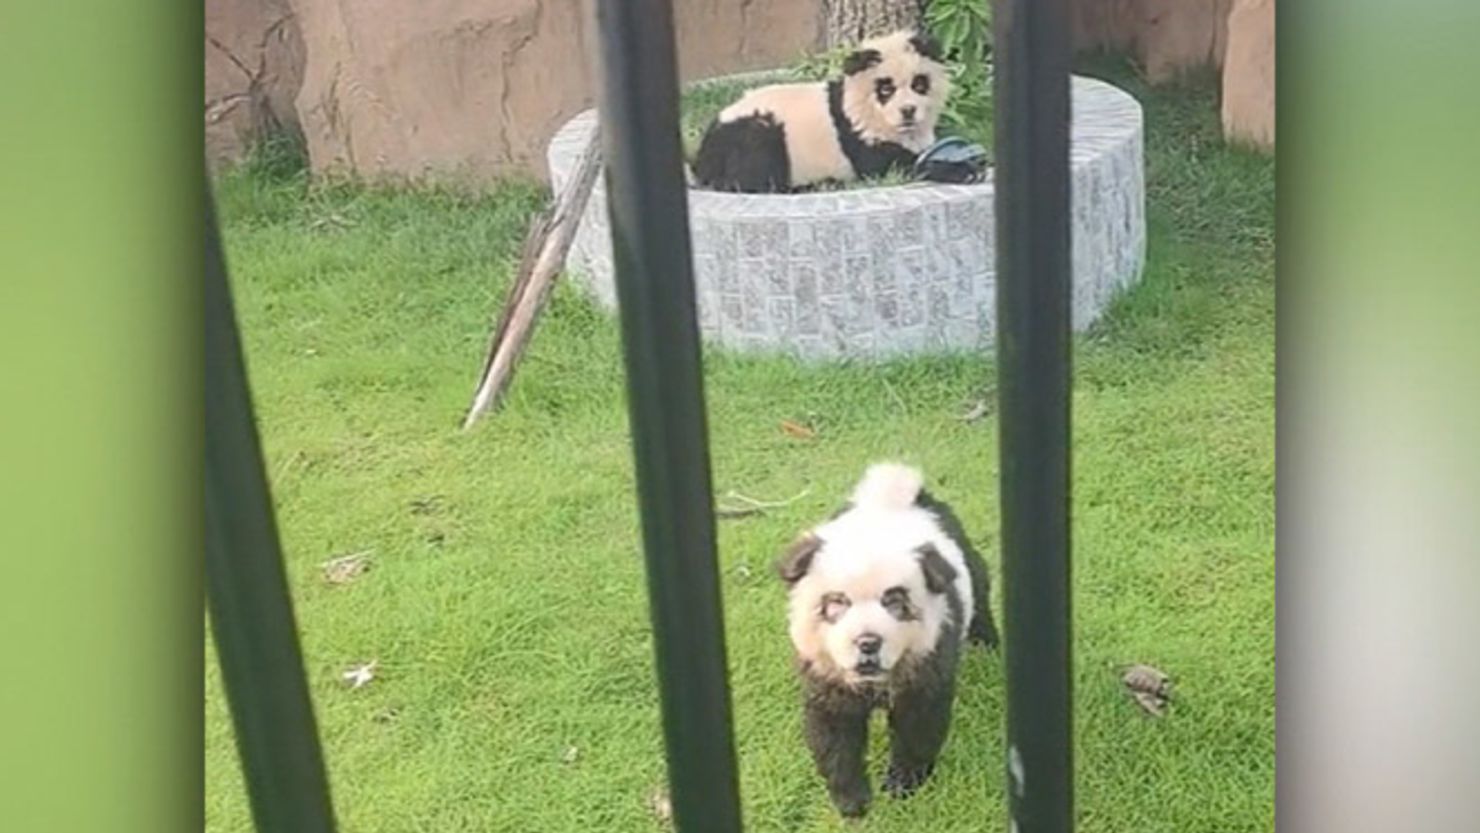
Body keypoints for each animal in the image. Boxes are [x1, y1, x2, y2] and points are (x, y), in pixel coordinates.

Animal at [689, 30, 947, 193]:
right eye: (886, 89)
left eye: (919, 84)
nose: (908, 111)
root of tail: (703, 158)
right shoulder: (859, 132)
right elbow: (889, 166)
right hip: (755, 130)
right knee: (751, 174)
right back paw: (817, 185)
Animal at [775, 461, 994, 822]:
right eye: (836, 603)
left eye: (894, 602)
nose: (867, 642)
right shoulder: (826, 677)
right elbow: (834, 737)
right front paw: (852, 802)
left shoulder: (926, 661)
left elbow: (917, 725)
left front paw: (903, 786)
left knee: (981, 590)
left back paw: (986, 645)